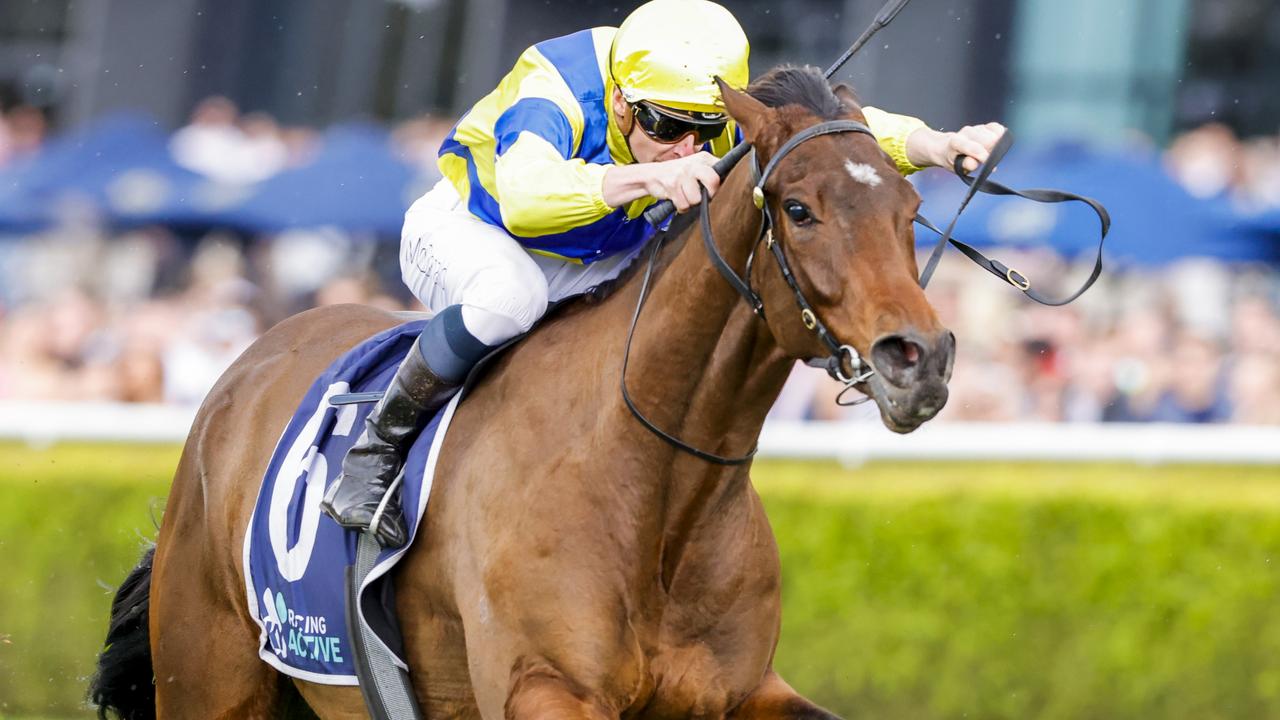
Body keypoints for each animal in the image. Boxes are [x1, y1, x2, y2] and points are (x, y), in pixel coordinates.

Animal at [90, 64, 952, 712]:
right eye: (799, 209)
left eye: (911, 208)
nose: (920, 358)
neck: (655, 489)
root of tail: (251, 362)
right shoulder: (546, 686)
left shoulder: (741, 691)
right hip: (209, 674)